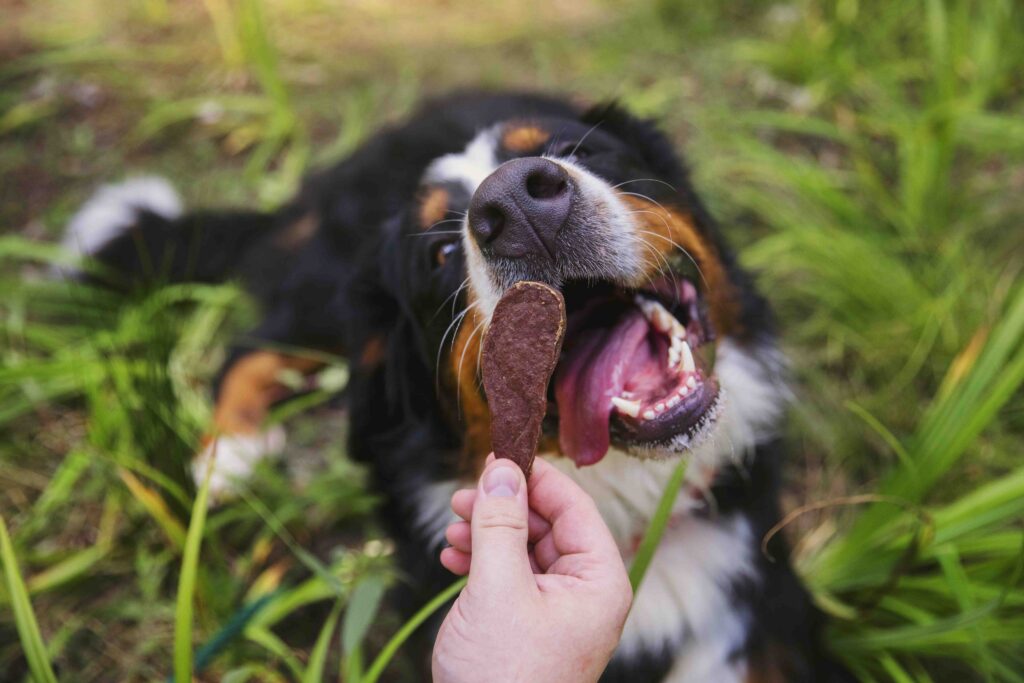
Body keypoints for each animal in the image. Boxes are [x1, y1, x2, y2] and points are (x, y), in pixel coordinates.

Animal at [64, 90, 856, 683]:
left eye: (581, 151)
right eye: (442, 252)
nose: (519, 204)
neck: (629, 505)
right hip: (325, 298)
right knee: (253, 347)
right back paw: (230, 453)